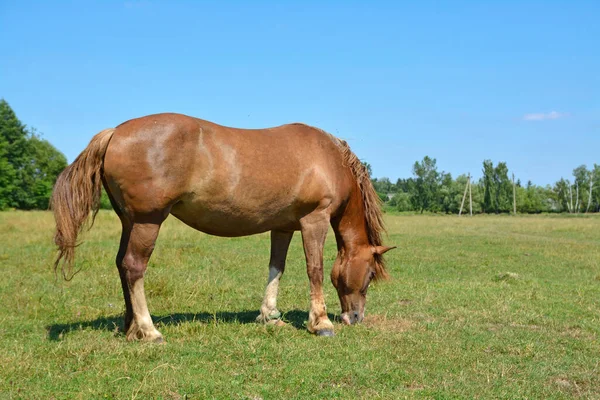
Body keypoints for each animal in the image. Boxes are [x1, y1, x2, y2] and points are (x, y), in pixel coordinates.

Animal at [51, 112, 396, 340]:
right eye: (369, 275)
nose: (355, 317)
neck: (329, 159)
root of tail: (115, 132)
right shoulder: (315, 220)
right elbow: (315, 269)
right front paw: (321, 323)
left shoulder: (283, 226)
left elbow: (276, 267)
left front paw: (270, 316)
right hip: (148, 221)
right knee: (134, 267)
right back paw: (149, 330)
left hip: (130, 221)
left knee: (121, 264)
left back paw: (130, 327)